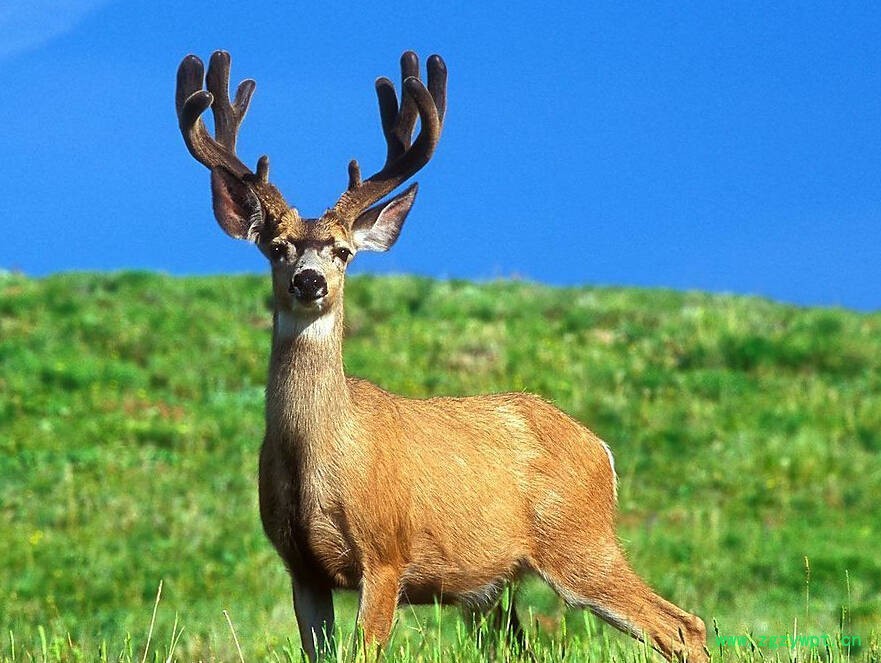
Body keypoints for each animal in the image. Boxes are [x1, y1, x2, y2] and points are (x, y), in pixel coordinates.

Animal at [175, 49, 712, 660]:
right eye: (276, 248)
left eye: (343, 252)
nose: (309, 281)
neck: (320, 458)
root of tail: (601, 449)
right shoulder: (301, 567)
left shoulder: (386, 552)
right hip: (495, 588)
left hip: (579, 540)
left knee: (682, 624)